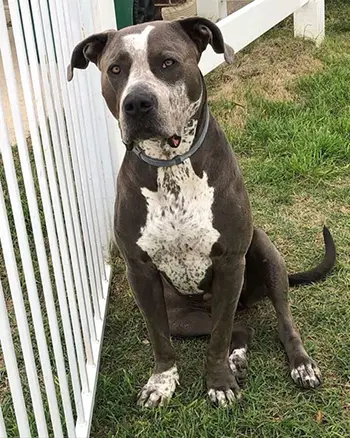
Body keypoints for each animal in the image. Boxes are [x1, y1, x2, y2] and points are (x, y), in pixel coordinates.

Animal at [69, 17, 336, 408]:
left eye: (168, 62)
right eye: (115, 69)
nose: (137, 102)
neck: (171, 165)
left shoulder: (229, 263)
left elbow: (219, 336)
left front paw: (220, 382)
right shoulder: (140, 273)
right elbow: (161, 340)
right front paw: (162, 381)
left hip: (266, 254)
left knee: (279, 322)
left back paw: (299, 364)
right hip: (184, 318)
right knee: (241, 327)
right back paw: (237, 357)